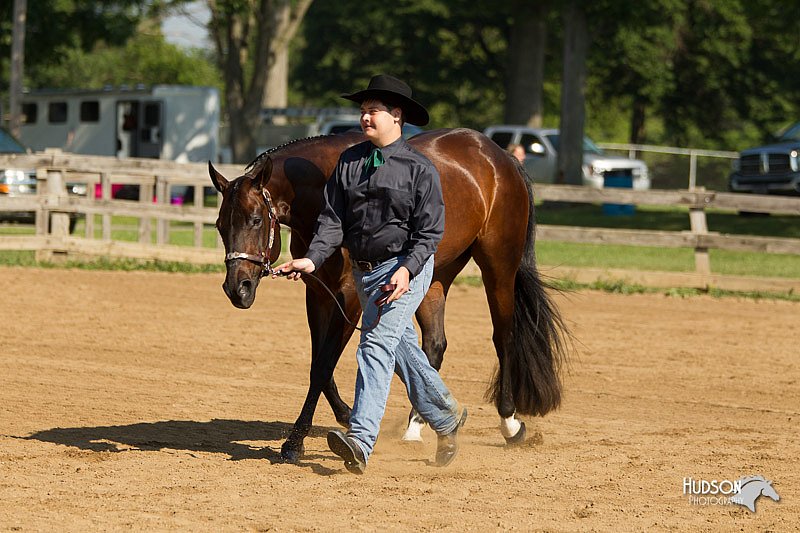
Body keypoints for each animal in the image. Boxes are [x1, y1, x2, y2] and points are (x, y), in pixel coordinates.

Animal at [208, 128, 568, 462]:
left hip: (499, 266)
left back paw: (510, 423)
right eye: (220, 226)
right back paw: (416, 427)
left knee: (503, 337)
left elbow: (323, 366)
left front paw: (295, 442)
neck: (323, 192)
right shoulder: (319, 295)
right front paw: (345, 415)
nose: (237, 288)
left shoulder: (350, 299)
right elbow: (319, 366)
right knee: (434, 345)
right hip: (434, 276)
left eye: (256, 220)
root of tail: (500, 157)